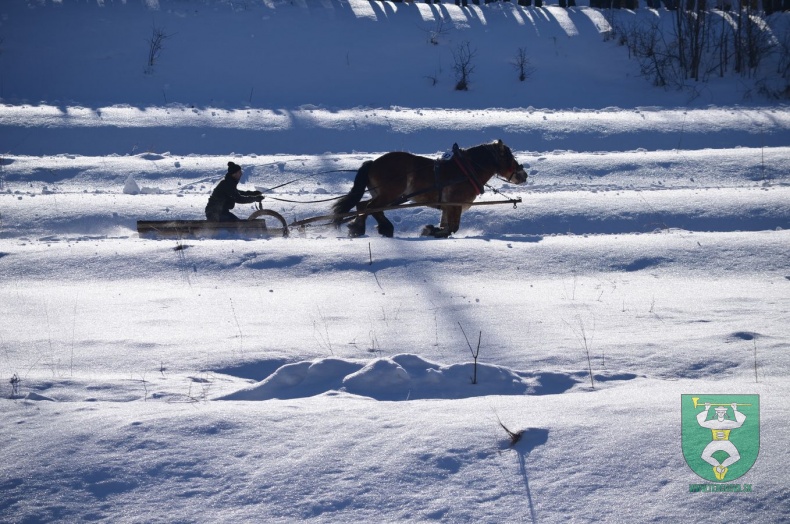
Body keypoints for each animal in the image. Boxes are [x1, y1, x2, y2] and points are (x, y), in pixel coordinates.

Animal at [332, 139, 528, 237]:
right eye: (508, 157)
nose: (523, 175)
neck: (466, 170)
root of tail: (373, 163)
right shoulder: (455, 205)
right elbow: (452, 228)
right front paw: (430, 231)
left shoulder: (448, 207)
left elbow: (447, 226)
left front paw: (433, 230)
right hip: (390, 194)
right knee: (370, 207)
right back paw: (379, 228)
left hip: (386, 195)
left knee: (364, 206)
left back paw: (360, 228)